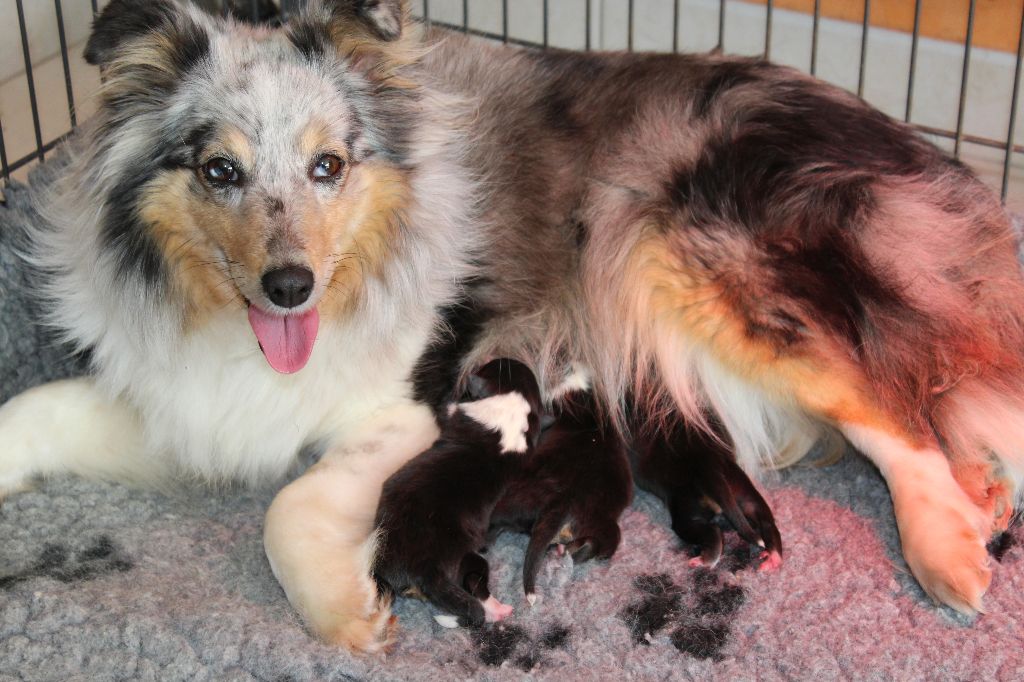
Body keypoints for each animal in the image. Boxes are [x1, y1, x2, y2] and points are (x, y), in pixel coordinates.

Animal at [370, 356, 544, 626]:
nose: (500, 357)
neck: (508, 406)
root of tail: (424, 569)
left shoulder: (456, 413)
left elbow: (450, 406)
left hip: (470, 560)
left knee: (477, 586)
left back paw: (497, 609)